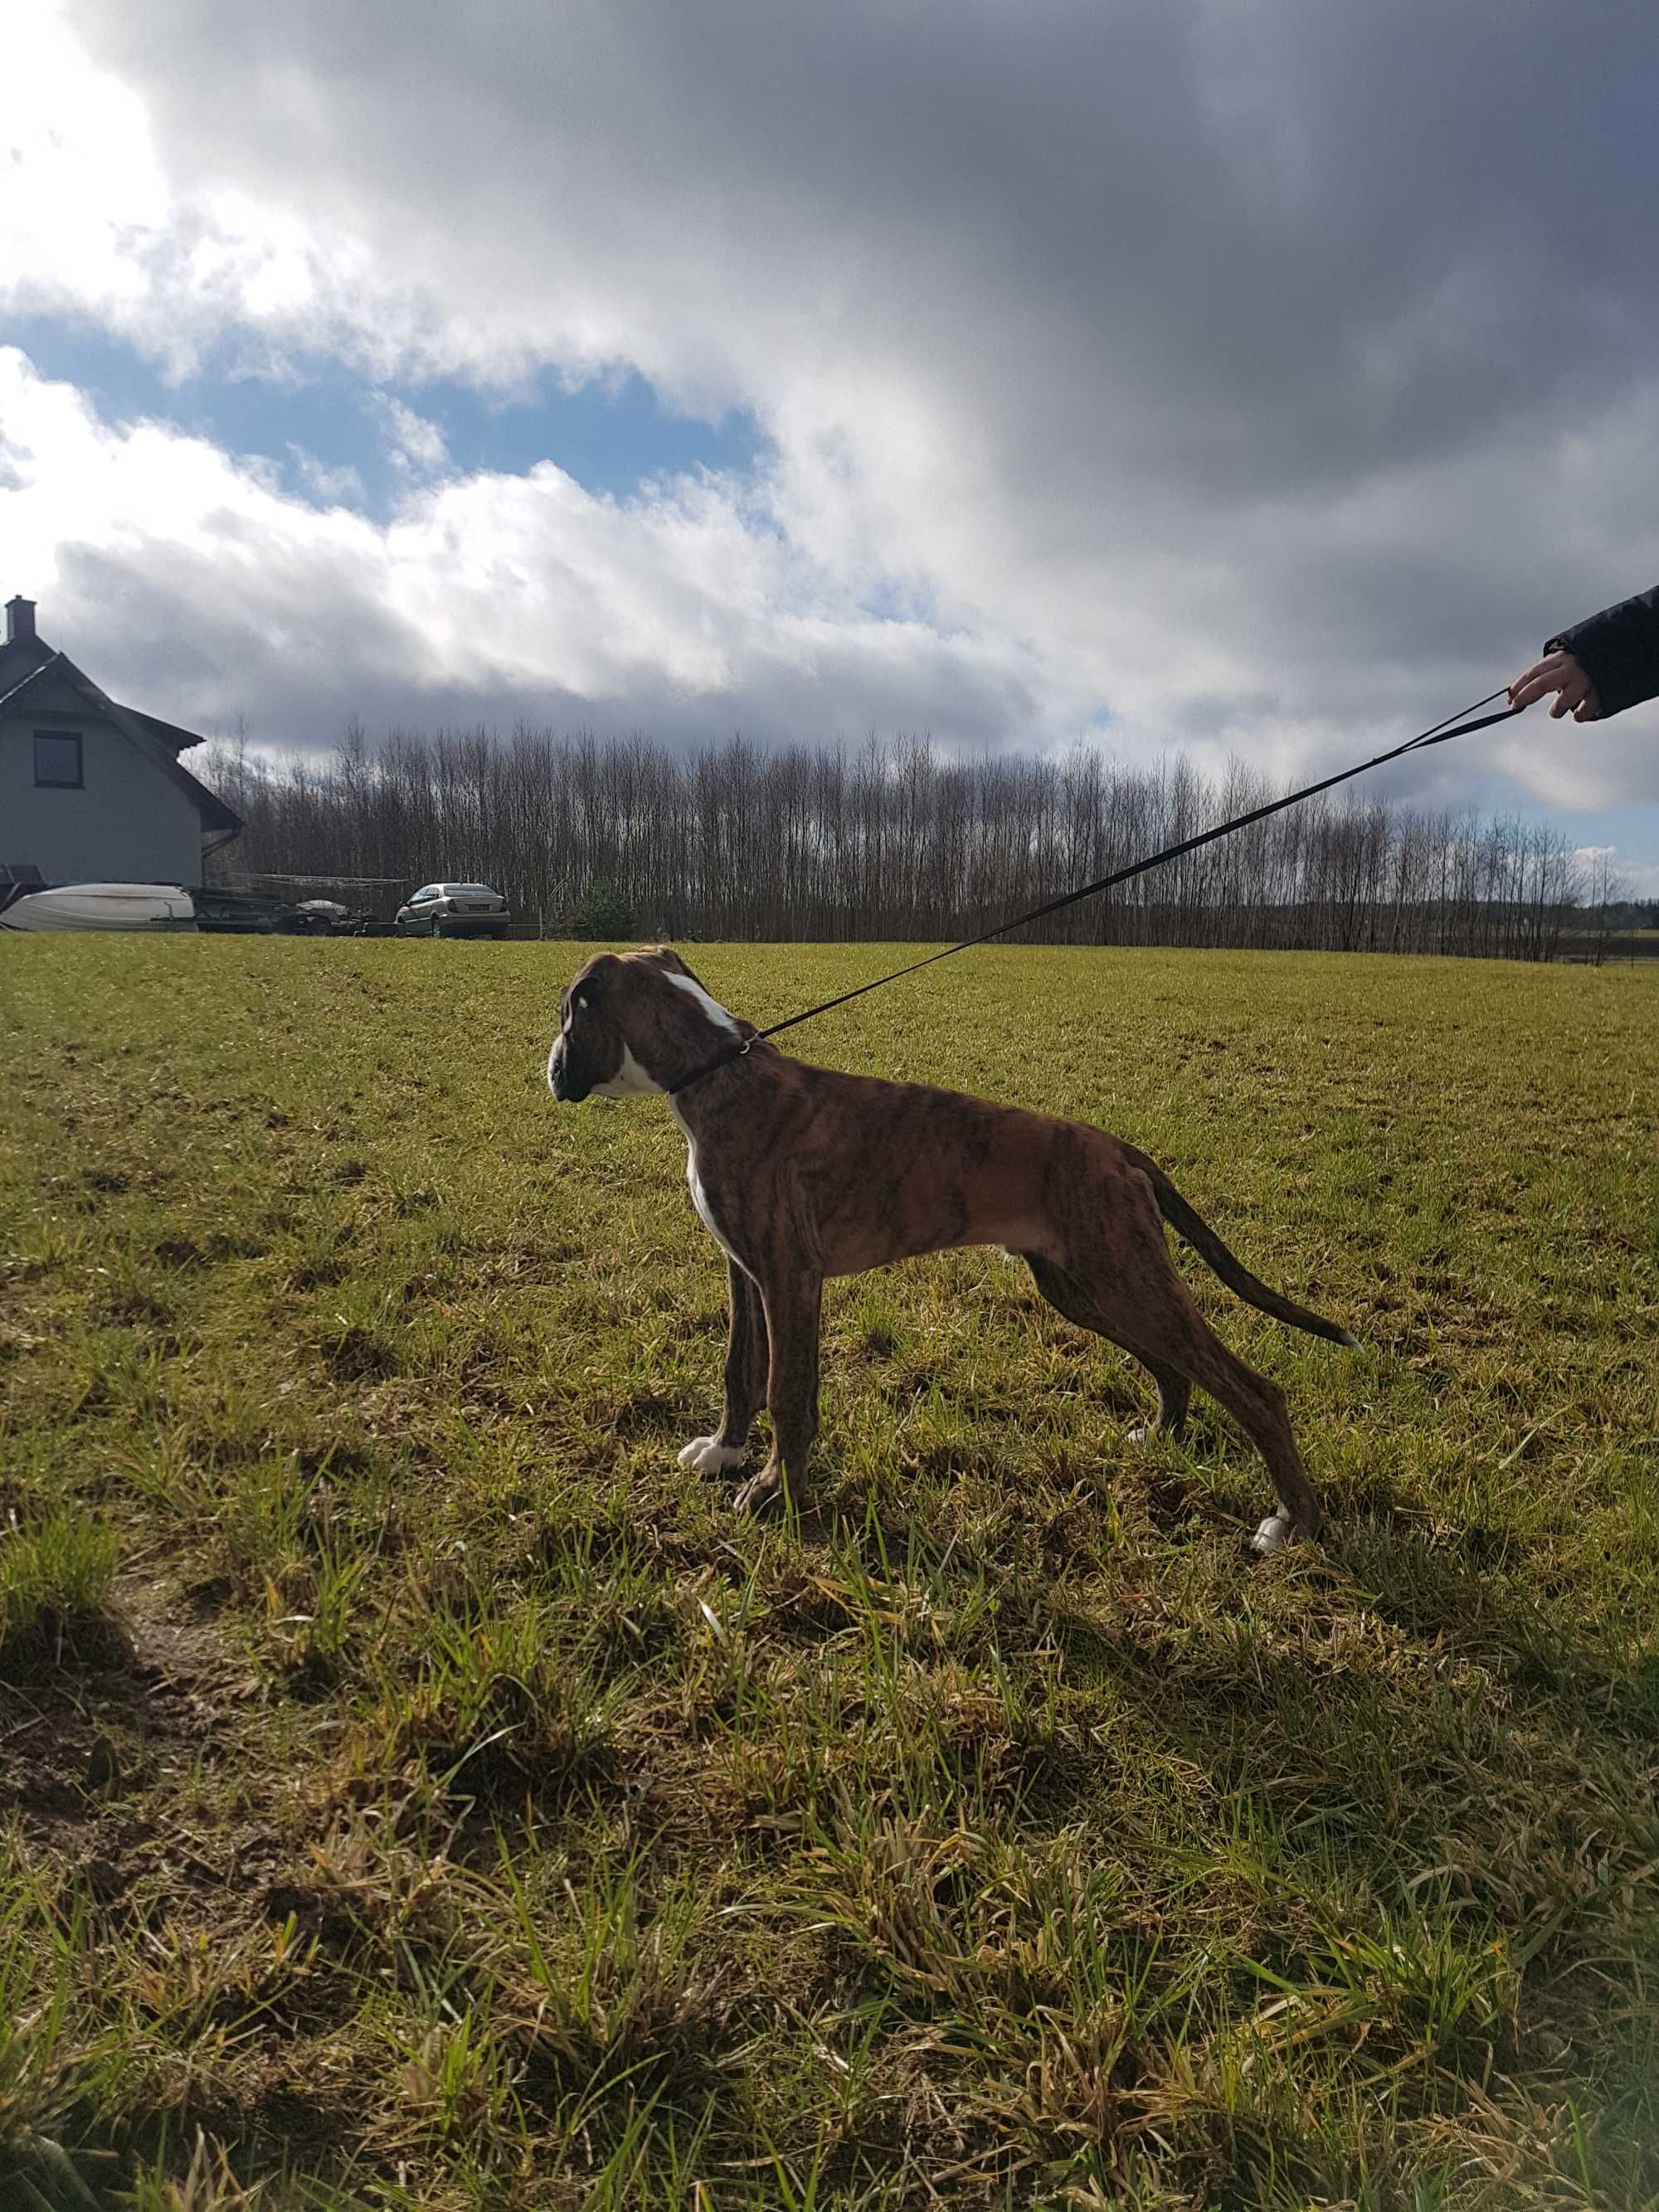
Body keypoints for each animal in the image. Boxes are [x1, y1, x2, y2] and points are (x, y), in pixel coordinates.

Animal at [552, 942, 1354, 1548]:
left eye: (567, 1014)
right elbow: (740, 1369)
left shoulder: (790, 1275)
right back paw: (1160, 1438)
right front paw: (724, 1452)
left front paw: (774, 1490)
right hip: (1087, 1287)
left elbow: (787, 1389)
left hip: (1126, 1279)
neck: (719, 1068)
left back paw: (1295, 1522)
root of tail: (1116, 1149)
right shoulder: (744, 1272)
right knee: (1174, 1368)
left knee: (1253, 1389)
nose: (551, 1068)